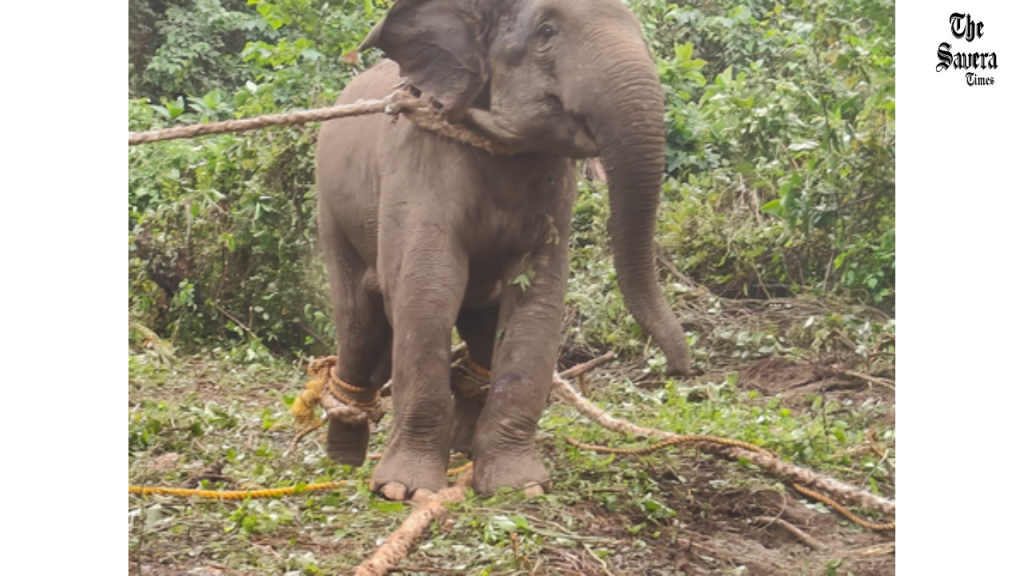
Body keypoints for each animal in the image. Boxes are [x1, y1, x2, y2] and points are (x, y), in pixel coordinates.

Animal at [314, 0, 691, 501]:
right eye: (546, 31)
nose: (680, 371)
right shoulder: (419, 159)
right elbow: (426, 290)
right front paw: (403, 491)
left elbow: (538, 300)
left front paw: (519, 487)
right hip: (333, 213)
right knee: (359, 320)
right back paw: (343, 461)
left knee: (477, 323)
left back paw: (462, 450)